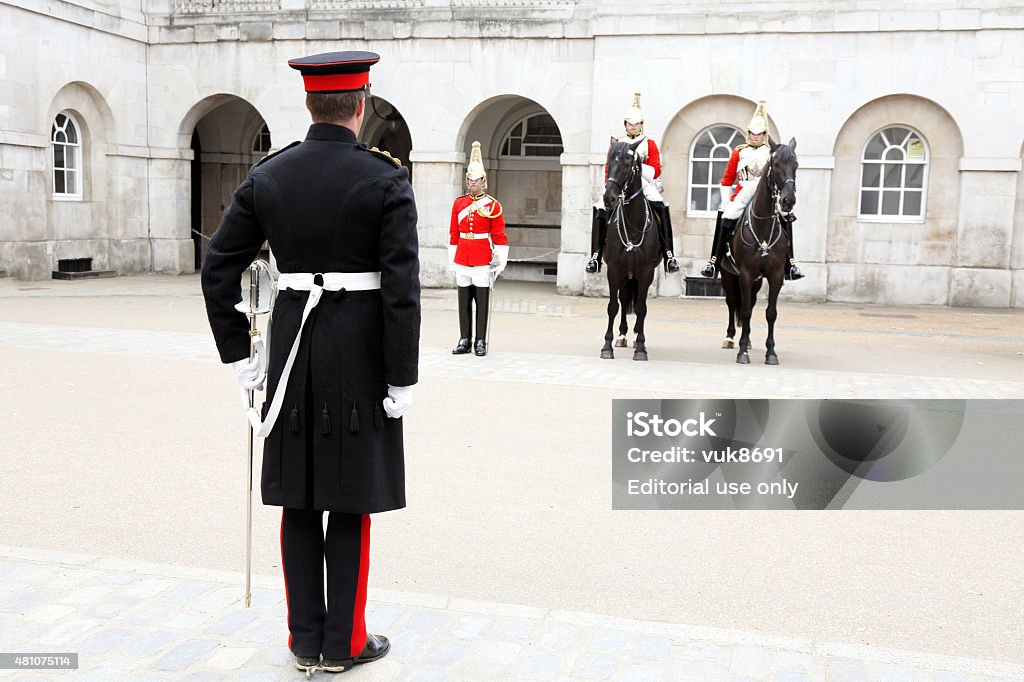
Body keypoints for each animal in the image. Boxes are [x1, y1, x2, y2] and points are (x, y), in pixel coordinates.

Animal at [598, 137, 659, 360]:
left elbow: (641, 308)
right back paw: (622, 335)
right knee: (624, 300)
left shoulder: (647, 272)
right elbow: (613, 306)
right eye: (608, 163)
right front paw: (607, 346)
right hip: (626, 273)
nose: (608, 199)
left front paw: (641, 346)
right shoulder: (614, 270)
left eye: (627, 164)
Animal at [716, 137, 794, 360]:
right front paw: (742, 350)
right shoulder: (745, 274)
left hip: (757, 281)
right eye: (776, 164)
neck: (763, 227)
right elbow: (744, 311)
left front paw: (771, 352)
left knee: (748, 301)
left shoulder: (775, 275)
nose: (788, 201)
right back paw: (730, 338)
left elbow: (770, 313)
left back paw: (748, 339)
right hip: (728, 274)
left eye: (796, 165)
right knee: (733, 302)